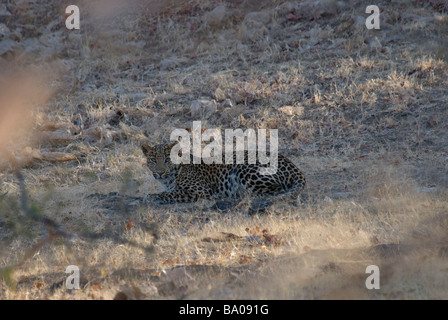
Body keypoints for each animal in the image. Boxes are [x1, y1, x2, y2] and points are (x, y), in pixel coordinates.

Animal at [142, 142, 306, 208]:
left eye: (166, 160)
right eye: (153, 160)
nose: (160, 172)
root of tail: (292, 164)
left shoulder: (200, 191)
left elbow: (170, 194)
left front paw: (151, 196)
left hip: (244, 167)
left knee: (275, 191)